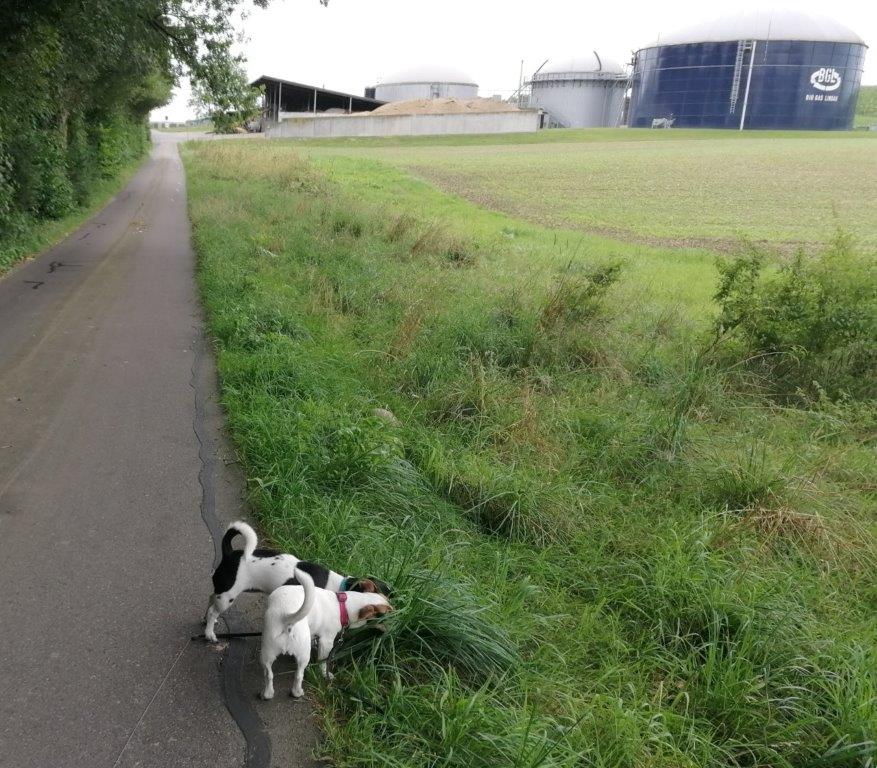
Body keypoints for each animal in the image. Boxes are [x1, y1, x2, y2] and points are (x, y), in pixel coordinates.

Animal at [203, 521, 390, 643]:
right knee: (213, 610)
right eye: (378, 614)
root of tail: (230, 554)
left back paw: (207, 622)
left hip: (221, 591)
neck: (339, 585)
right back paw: (209, 633)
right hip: (228, 596)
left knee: (210, 600)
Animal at [260, 565, 393, 699]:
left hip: (267, 653)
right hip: (303, 655)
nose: (398, 615)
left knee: (268, 674)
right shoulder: (326, 641)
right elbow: (323, 661)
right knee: (298, 675)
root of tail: (287, 618)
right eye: (387, 613)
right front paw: (325, 673)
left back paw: (267, 694)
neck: (342, 605)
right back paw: (297, 692)